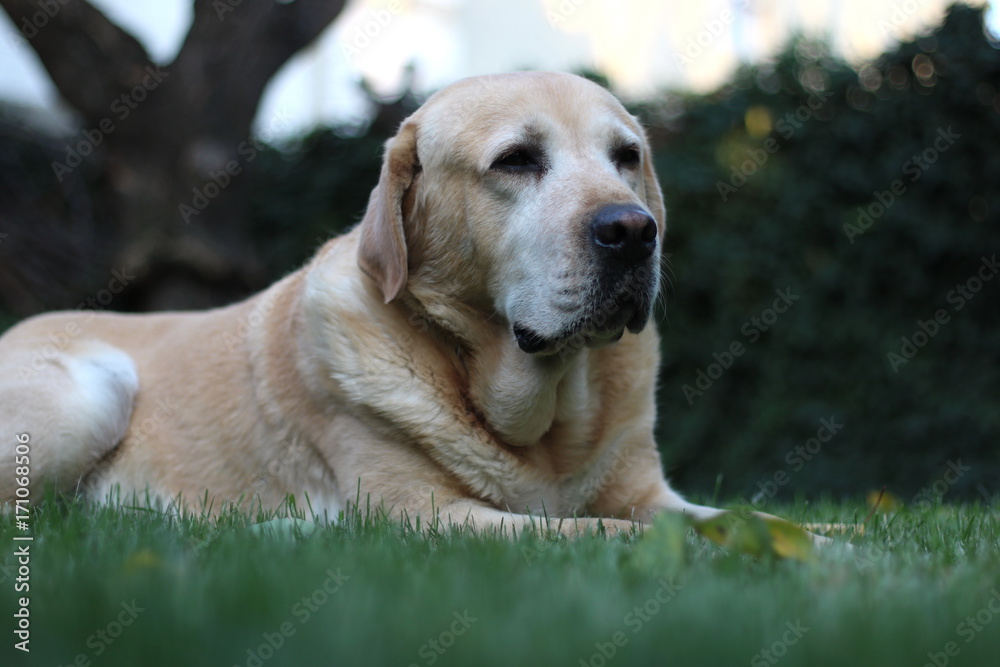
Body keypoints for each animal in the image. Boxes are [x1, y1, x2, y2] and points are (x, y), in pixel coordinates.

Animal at [1, 73, 788, 536]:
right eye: (516, 161)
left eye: (627, 155)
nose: (632, 230)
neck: (546, 426)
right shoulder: (427, 516)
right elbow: (606, 532)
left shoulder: (653, 493)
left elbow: (747, 518)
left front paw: (808, 545)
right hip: (95, 392)